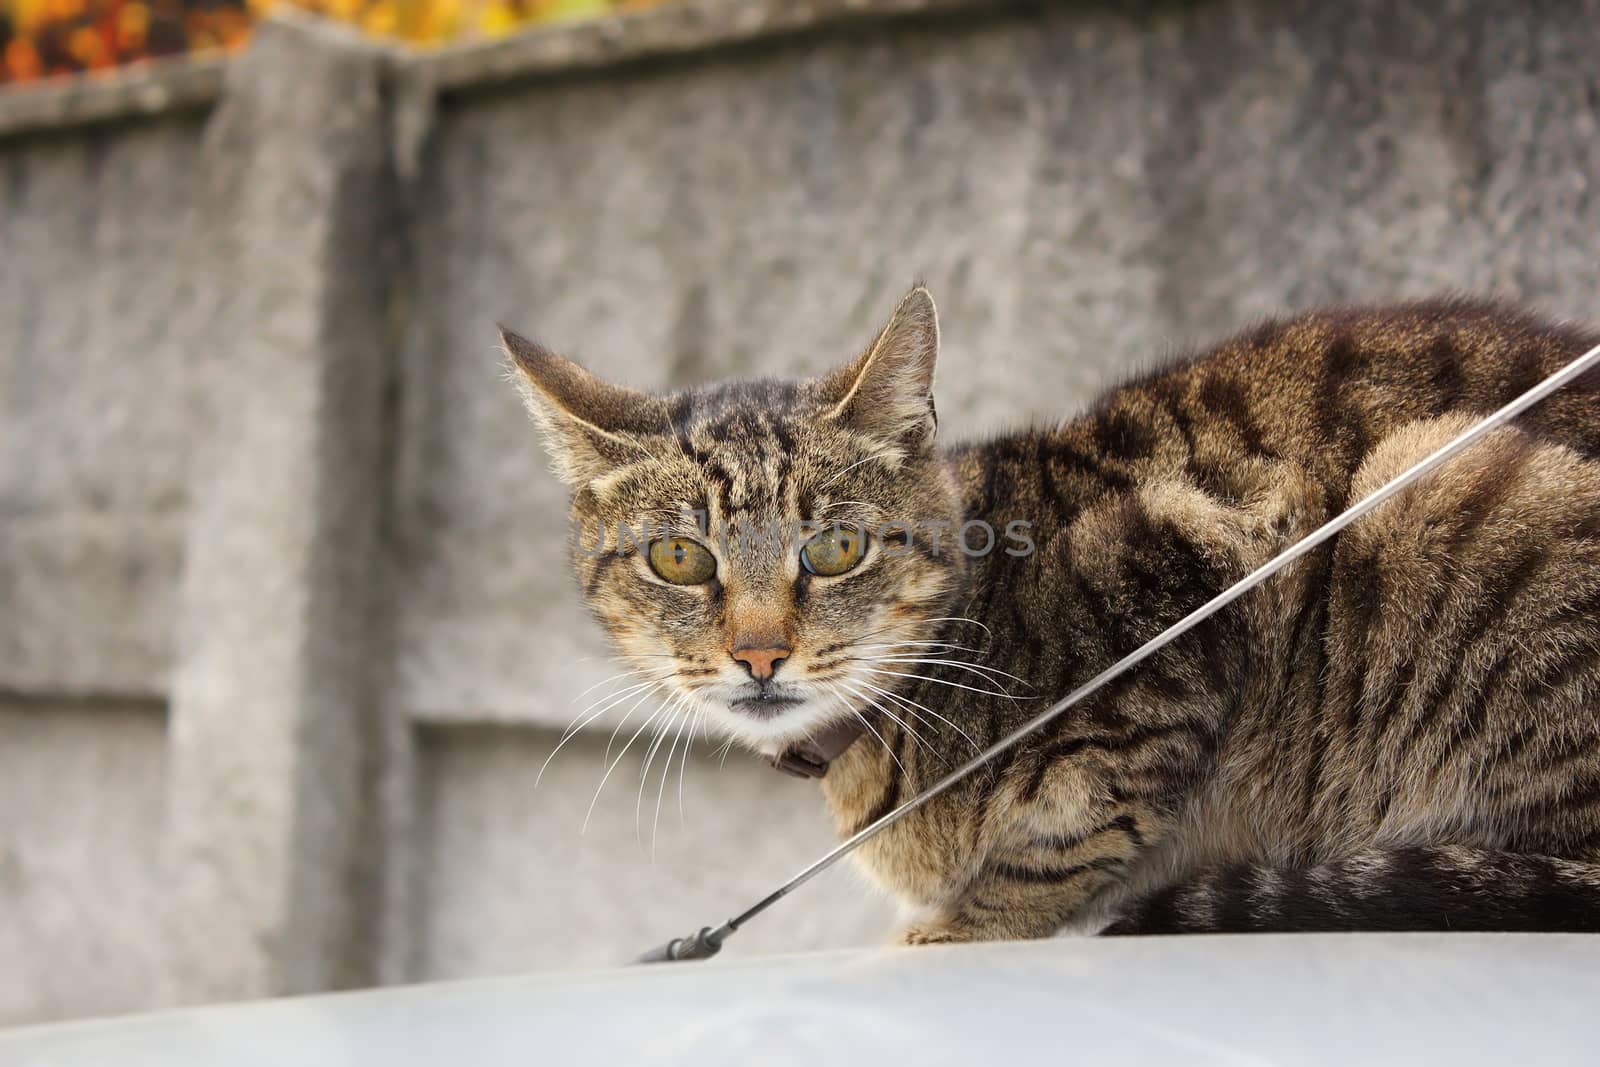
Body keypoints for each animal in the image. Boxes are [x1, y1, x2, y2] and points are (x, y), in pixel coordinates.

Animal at [505, 286, 1600, 940]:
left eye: (837, 548)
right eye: (679, 557)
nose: (760, 654)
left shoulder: (1187, 581)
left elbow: (1074, 825)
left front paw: (960, 924)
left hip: (1448, 487)